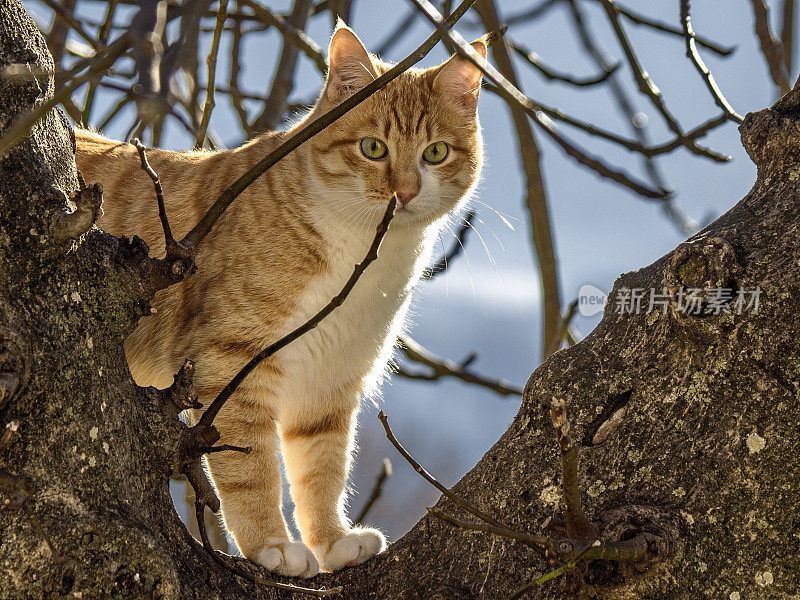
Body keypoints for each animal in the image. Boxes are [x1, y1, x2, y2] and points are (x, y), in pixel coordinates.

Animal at [76, 24, 488, 576]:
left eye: (436, 153)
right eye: (373, 148)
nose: (403, 192)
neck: (364, 259)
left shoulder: (331, 382)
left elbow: (323, 468)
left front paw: (333, 542)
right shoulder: (232, 364)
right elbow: (251, 468)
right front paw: (271, 546)